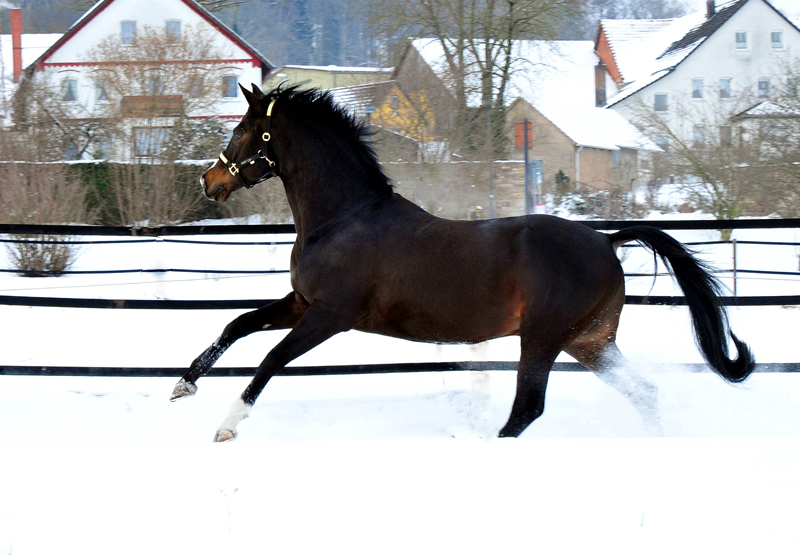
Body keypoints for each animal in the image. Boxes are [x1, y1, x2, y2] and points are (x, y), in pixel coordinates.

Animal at [170, 84, 756, 444]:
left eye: (242, 133)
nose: (208, 181)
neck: (344, 217)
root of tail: (608, 241)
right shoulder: (300, 302)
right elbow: (238, 324)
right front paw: (184, 385)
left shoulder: (331, 314)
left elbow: (271, 359)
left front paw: (227, 426)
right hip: (590, 341)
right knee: (643, 392)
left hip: (543, 338)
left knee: (527, 410)